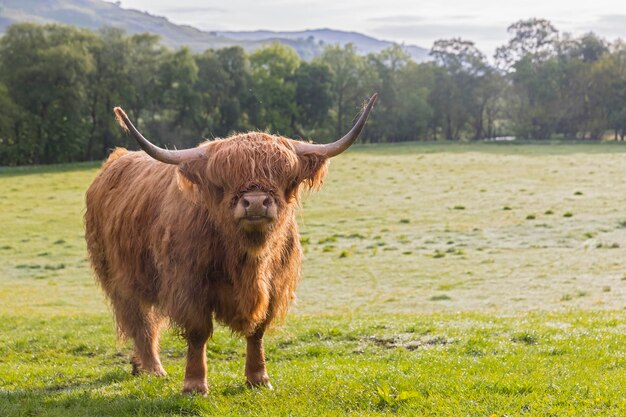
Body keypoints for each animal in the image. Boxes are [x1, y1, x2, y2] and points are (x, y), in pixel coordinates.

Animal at [83, 94, 376, 394]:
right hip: (119, 278)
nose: (256, 202)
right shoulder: (188, 285)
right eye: (222, 181)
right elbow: (198, 332)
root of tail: (118, 158)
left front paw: (259, 378)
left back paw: (138, 366)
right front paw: (194, 384)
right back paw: (153, 368)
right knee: (140, 322)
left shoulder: (274, 285)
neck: (247, 260)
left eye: (283, 176)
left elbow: (257, 331)